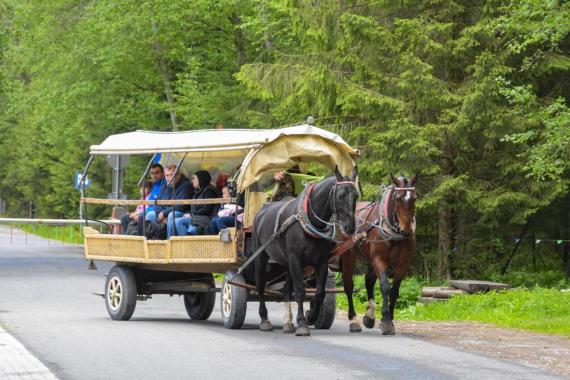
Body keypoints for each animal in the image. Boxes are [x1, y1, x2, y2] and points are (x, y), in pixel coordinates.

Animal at [252, 166, 356, 336]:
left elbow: (319, 292)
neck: (308, 222)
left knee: (286, 290)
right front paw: (302, 323)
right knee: (260, 286)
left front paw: (311, 316)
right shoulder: (296, 260)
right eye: (340, 195)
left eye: (356, 195)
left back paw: (288, 323)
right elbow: (300, 290)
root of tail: (261, 211)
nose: (350, 228)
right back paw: (265, 319)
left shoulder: (321, 262)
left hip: (286, 263)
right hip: (261, 257)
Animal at [340, 174, 414, 334]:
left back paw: (370, 316)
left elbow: (394, 291)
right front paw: (385, 319)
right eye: (398, 198)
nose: (406, 229)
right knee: (348, 285)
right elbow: (385, 286)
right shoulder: (379, 260)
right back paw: (353, 320)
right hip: (348, 255)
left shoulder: (403, 264)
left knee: (368, 281)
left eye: (415, 197)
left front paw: (389, 320)